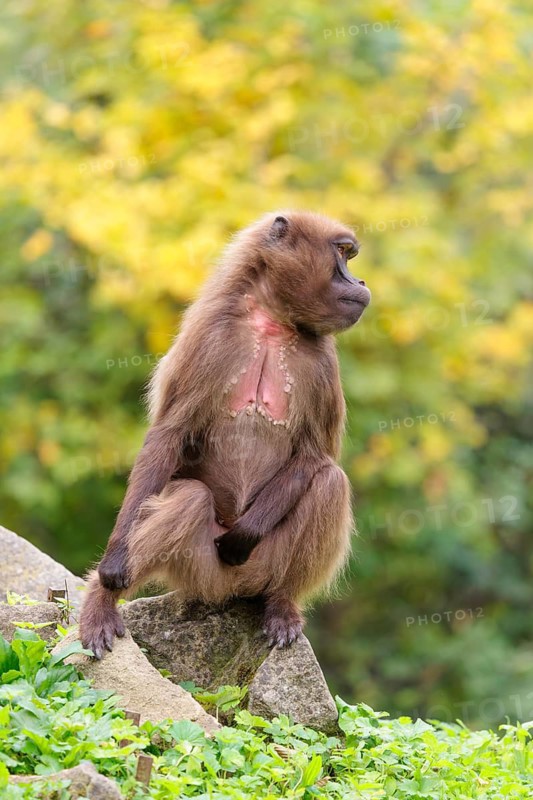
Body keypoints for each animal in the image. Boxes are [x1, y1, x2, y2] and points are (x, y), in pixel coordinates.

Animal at [79, 211, 371, 659]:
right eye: (342, 253)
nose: (360, 282)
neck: (271, 322)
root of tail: (231, 590)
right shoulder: (210, 337)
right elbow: (169, 435)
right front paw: (112, 566)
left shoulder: (324, 360)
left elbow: (317, 457)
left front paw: (242, 535)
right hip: (198, 570)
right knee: (189, 497)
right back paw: (102, 604)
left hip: (264, 565)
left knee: (330, 485)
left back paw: (282, 605)